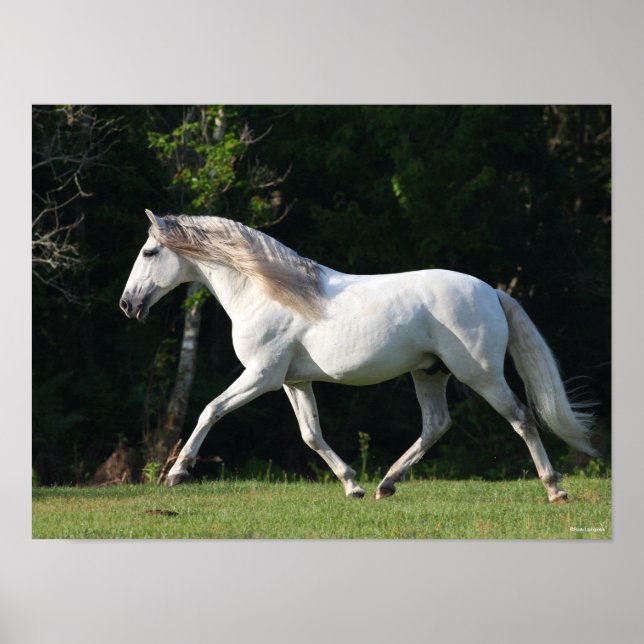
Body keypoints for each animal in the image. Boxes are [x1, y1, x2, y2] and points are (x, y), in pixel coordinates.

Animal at [120, 209, 596, 502]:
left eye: (149, 252)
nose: (127, 305)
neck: (265, 291)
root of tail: (493, 292)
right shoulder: (294, 382)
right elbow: (311, 435)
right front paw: (353, 486)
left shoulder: (261, 376)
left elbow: (210, 409)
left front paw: (177, 474)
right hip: (429, 374)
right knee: (436, 425)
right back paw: (385, 484)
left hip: (481, 376)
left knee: (522, 418)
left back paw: (555, 489)